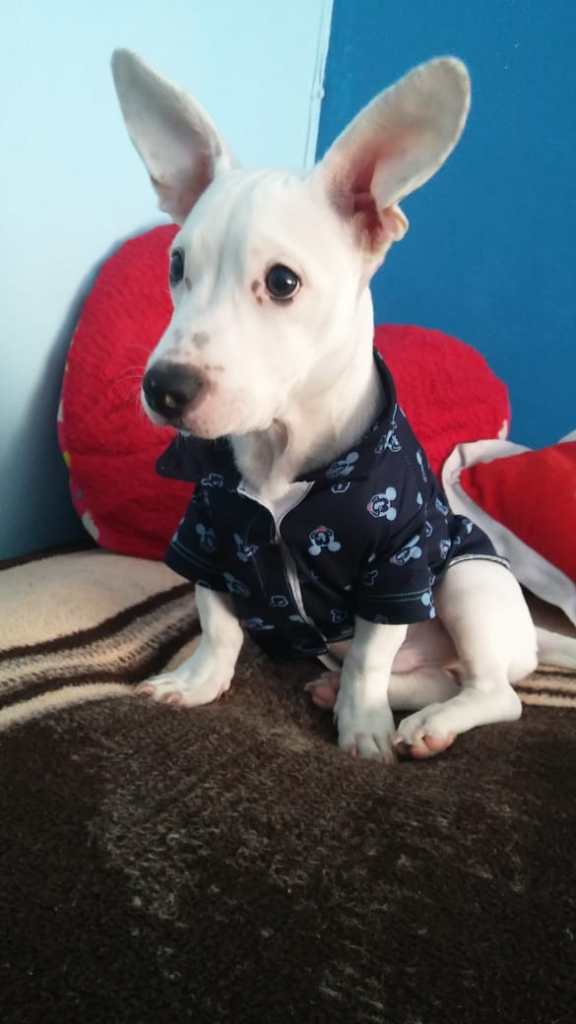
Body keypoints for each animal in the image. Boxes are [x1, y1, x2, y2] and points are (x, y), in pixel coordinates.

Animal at [111, 49, 571, 763]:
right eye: (176, 265)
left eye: (282, 282)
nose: (164, 387)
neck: (280, 452)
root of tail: (531, 638)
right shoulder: (206, 537)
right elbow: (219, 625)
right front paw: (196, 680)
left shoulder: (397, 569)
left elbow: (369, 660)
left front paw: (362, 728)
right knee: (435, 675)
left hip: (466, 579)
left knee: (494, 691)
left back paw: (426, 723)